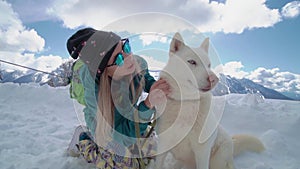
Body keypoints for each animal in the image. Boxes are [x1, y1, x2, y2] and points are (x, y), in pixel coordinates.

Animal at [156, 32, 264, 168]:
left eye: (208, 65)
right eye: (192, 62)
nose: (215, 79)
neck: (187, 101)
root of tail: (232, 143)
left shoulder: (202, 151)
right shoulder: (163, 145)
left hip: (217, 160)